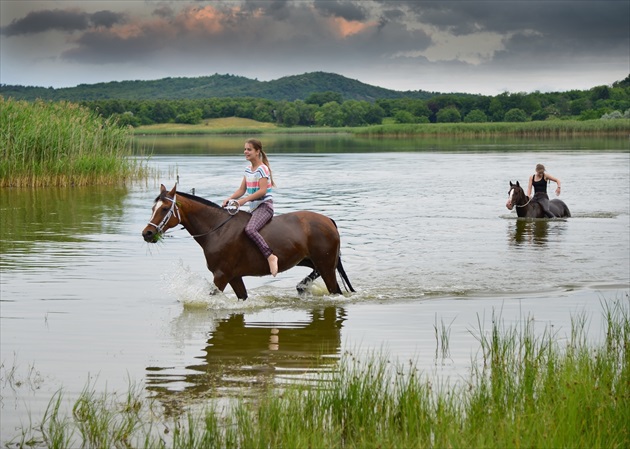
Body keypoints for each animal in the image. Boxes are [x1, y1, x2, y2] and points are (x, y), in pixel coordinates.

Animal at [141, 184, 356, 300]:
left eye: (165, 208)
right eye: (153, 207)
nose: (147, 233)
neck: (217, 229)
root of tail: (328, 220)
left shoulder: (221, 276)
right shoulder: (234, 277)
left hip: (326, 266)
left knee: (335, 290)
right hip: (316, 262)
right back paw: (301, 287)